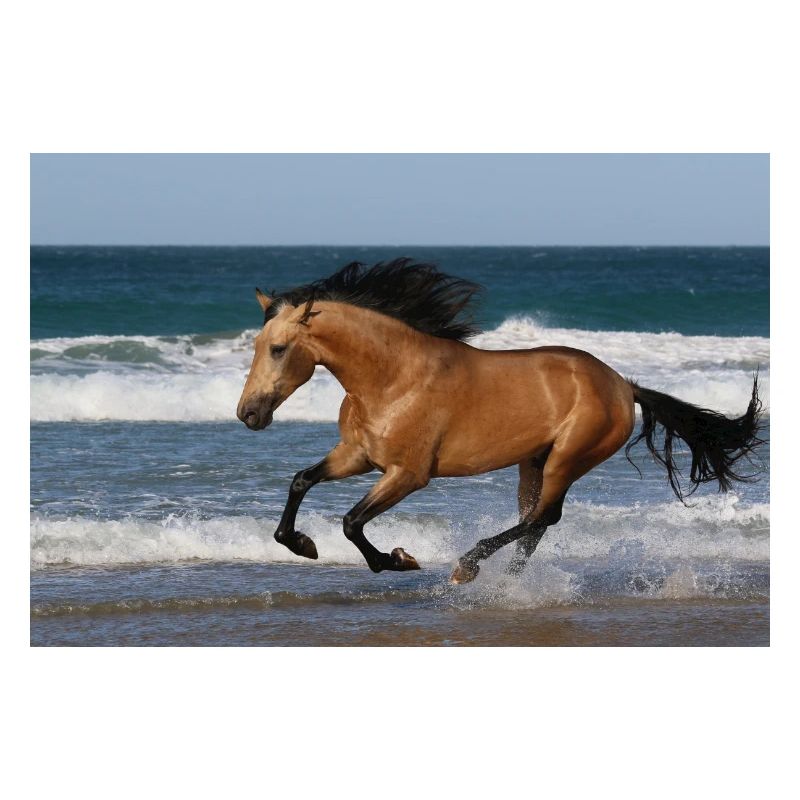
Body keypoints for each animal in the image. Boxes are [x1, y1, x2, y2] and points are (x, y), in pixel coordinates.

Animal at [236, 259, 763, 584]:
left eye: (278, 349)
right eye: (256, 345)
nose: (248, 414)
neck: (393, 379)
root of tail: (622, 384)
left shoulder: (408, 474)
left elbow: (350, 522)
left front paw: (398, 560)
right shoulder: (357, 456)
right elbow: (301, 481)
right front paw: (302, 544)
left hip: (568, 458)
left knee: (542, 518)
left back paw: (469, 567)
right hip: (534, 462)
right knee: (534, 523)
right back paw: (509, 585)